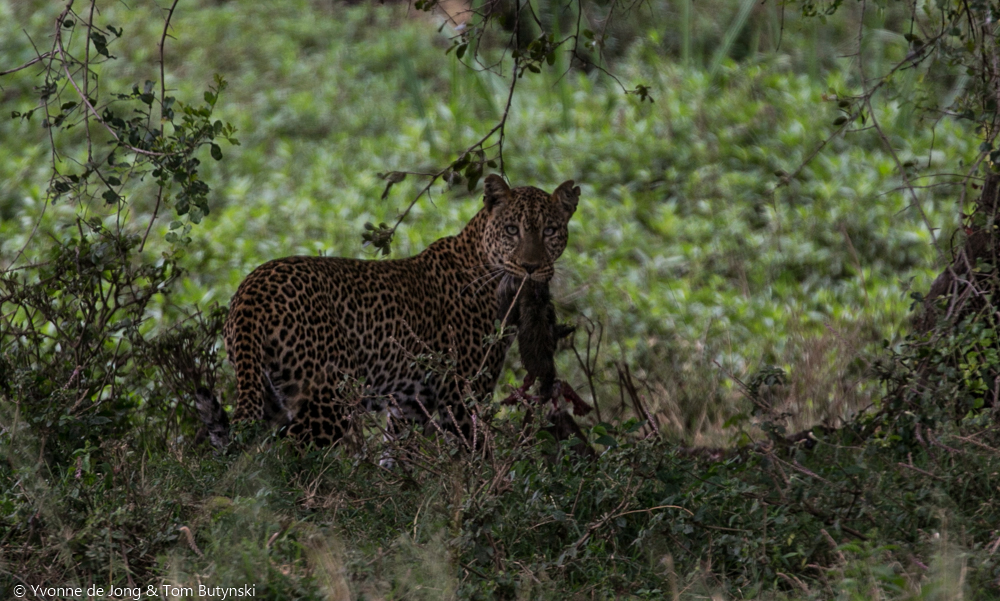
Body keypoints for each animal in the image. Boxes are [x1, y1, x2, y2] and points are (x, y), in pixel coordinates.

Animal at [196, 174, 580, 449]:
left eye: (550, 230)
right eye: (512, 230)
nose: (531, 268)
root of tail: (251, 289)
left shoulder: (409, 405)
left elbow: (397, 455)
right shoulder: (463, 394)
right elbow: (473, 453)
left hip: (265, 390)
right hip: (328, 400)